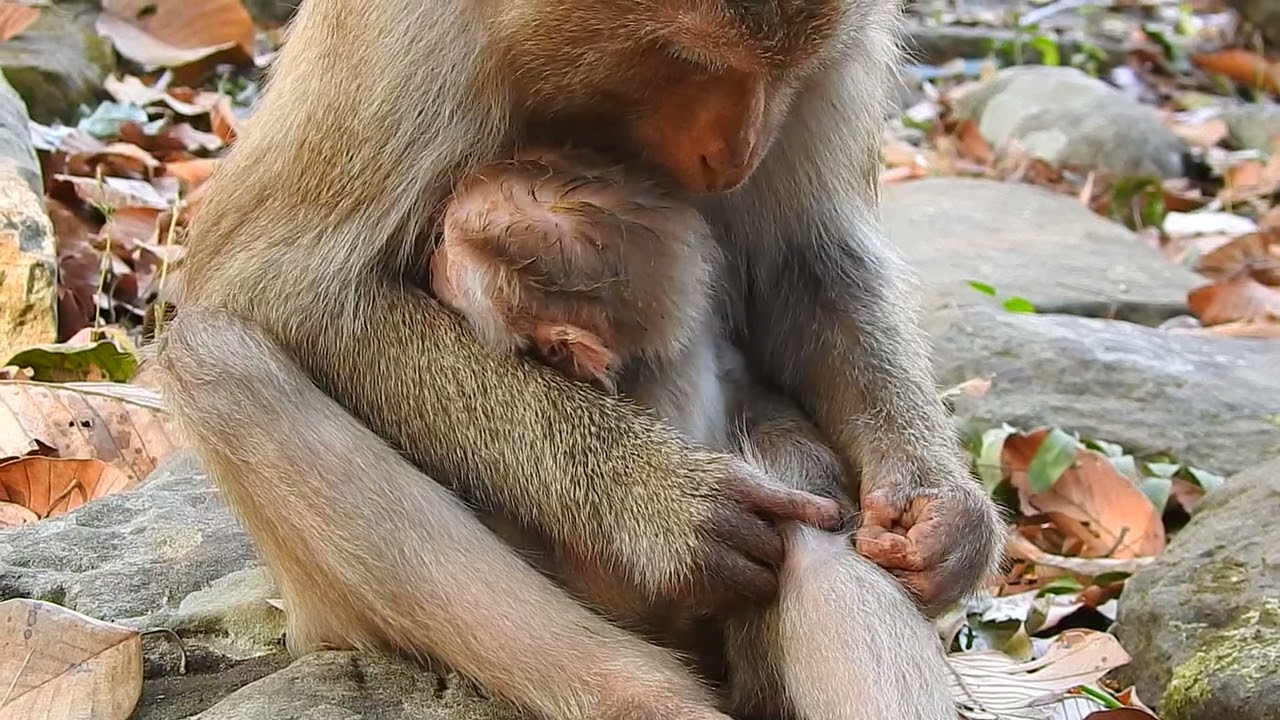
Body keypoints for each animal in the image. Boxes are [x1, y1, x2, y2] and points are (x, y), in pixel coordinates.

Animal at [153, 0, 1005, 718]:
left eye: (789, 69)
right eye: (689, 57)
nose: (733, 155)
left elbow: (809, 265)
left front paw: (941, 510)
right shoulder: (407, 33)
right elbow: (291, 290)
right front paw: (669, 508)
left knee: (812, 528)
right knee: (219, 362)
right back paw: (639, 695)